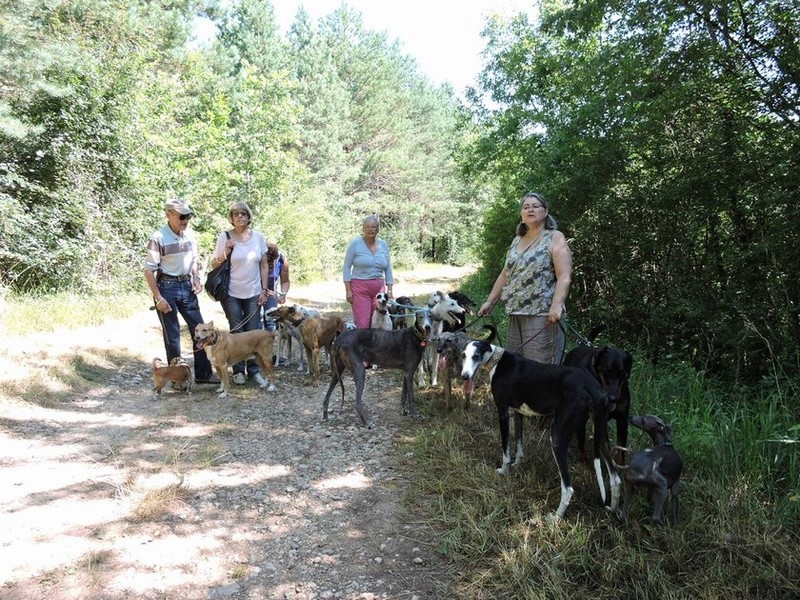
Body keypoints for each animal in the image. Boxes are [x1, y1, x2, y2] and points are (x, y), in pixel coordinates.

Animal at [460, 342, 620, 520]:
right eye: (463, 355)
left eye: (476, 356)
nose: (464, 376)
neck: (498, 360)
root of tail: (592, 386)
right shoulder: (519, 413)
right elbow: (519, 443)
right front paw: (518, 464)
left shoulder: (503, 413)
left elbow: (506, 450)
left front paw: (504, 470)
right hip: (601, 435)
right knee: (615, 477)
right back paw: (613, 510)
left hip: (557, 437)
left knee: (568, 488)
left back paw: (555, 518)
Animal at [564, 326, 632, 462]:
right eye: (606, 371)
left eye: (622, 373)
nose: (613, 398)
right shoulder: (600, 418)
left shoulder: (623, 420)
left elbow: (620, 452)